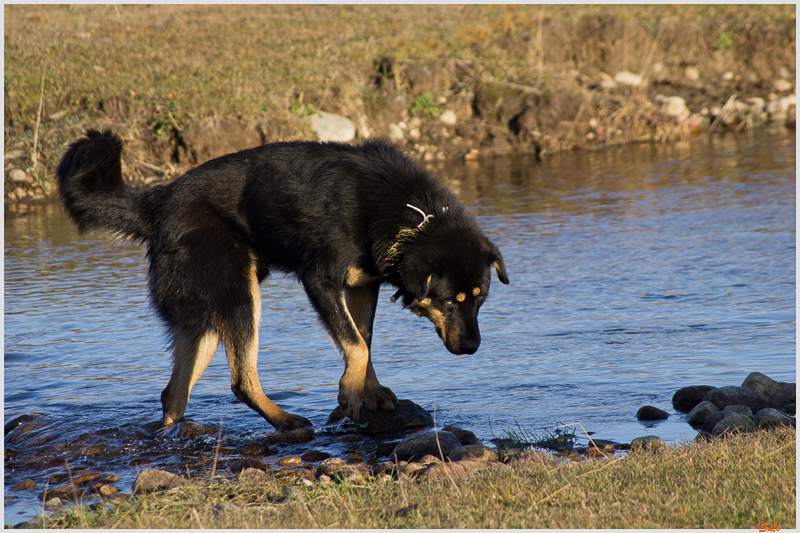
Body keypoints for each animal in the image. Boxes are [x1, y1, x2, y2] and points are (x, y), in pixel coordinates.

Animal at [56, 130, 510, 432]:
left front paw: (370, 390)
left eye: (479, 299)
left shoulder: (362, 285)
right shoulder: (319, 280)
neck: (410, 217)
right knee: (241, 381)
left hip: (203, 322)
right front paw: (350, 393)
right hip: (239, 297)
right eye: (449, 301)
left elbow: (363, 338)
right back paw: (286, 421)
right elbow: (356, 344)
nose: (472, 347)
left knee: (174, 394)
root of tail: (158, 203)